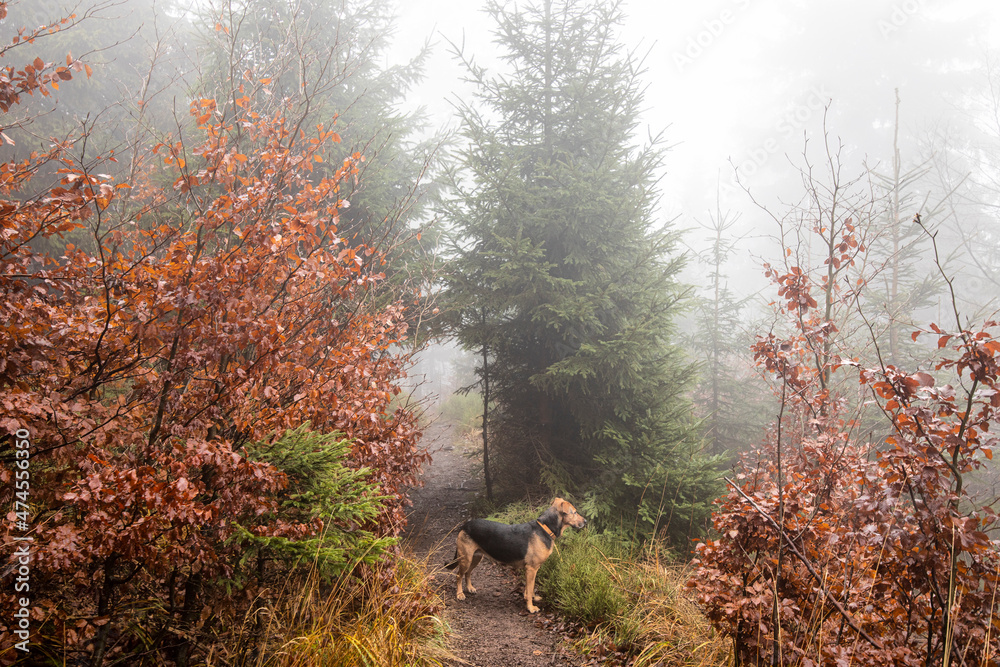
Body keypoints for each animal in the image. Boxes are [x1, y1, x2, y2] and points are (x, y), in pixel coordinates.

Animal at [446, 498, 584, 612]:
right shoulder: (531, 569)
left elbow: (530, 588)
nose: (586, 521)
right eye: (574, 512)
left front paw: (532, 598)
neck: (545, 528)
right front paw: (531, 607)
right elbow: (530, 588)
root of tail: (465, 525)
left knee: (468, 573)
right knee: (458, 575)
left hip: (476, 557)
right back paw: (460, 594)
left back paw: (470, 588)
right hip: (466, 558)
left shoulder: (532, 570)